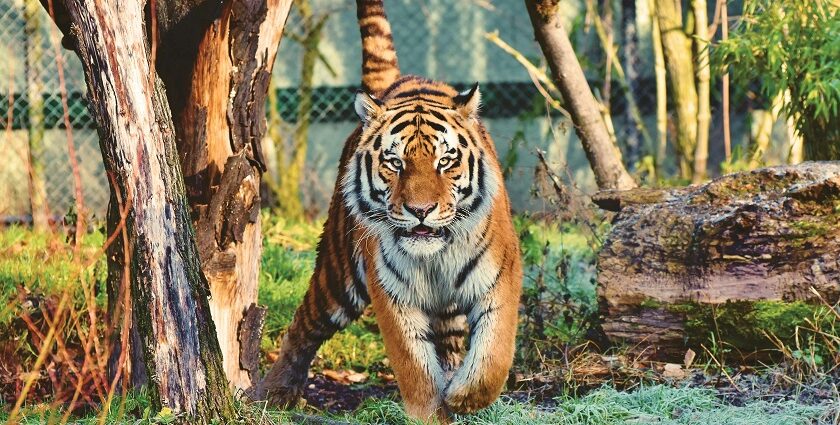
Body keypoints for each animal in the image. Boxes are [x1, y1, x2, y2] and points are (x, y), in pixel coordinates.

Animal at [253, 0, 520, 420]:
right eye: (395, 163)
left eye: (445, 161)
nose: (420, 210)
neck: (435, 257)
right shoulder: (393, 295)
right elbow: (415, 369)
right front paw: (431, 412)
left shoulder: (500, 279)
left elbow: (493, 359)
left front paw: (462, 397)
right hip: (338, 273)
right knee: (303, 324)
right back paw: (274, 393)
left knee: (451, 343)